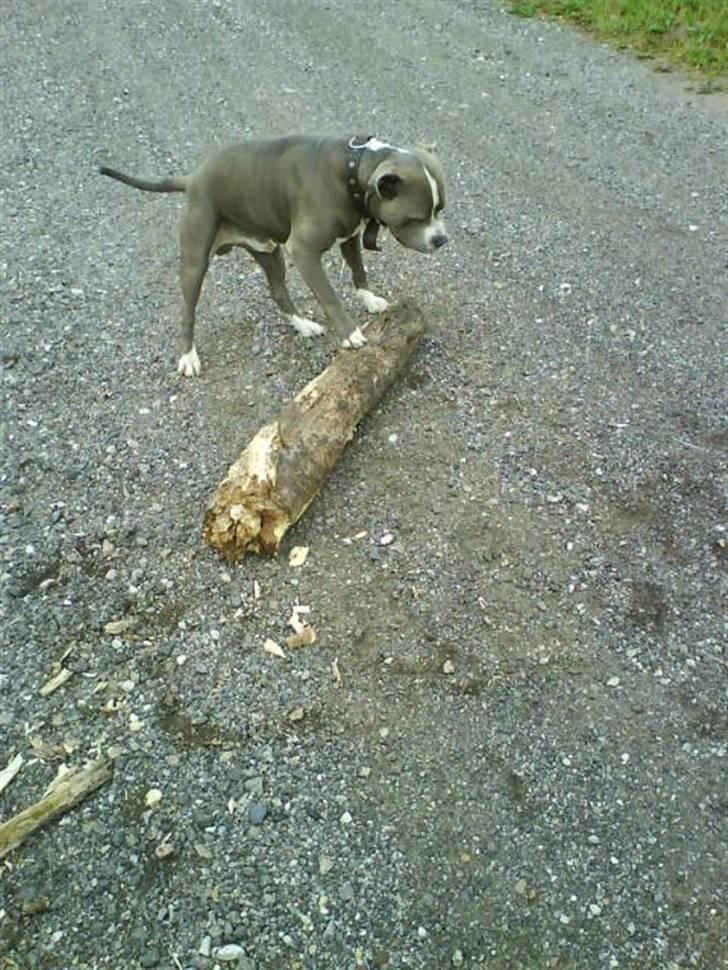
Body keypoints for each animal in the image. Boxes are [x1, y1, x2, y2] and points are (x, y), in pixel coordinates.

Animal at [99, 134, 446, 376]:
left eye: (440, 209)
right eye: (415, 218)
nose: (442, 239)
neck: (351, 167)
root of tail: (193, 180)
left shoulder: (350, 235)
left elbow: (358, 270)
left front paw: (369, 299)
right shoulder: (304, 251)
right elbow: (329, 296)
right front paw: (350, 334)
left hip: (269, 252)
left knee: (278, 291)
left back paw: (303, 325)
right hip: (195, 260)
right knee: (187, 310)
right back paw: (187, 357)